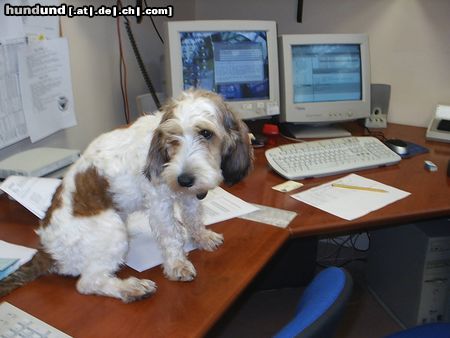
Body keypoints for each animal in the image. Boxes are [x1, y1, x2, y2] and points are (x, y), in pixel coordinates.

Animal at [0, 90, 253, 304]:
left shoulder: (188, 196)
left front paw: (202, 237)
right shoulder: (160, 204)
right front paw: (177, 265)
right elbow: (171, 236)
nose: (184, 179)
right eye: (173, 138)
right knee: (88, 282)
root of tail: (46, 251)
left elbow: (193, 218)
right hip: (114, 230)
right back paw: (131, 288)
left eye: (206, 133)